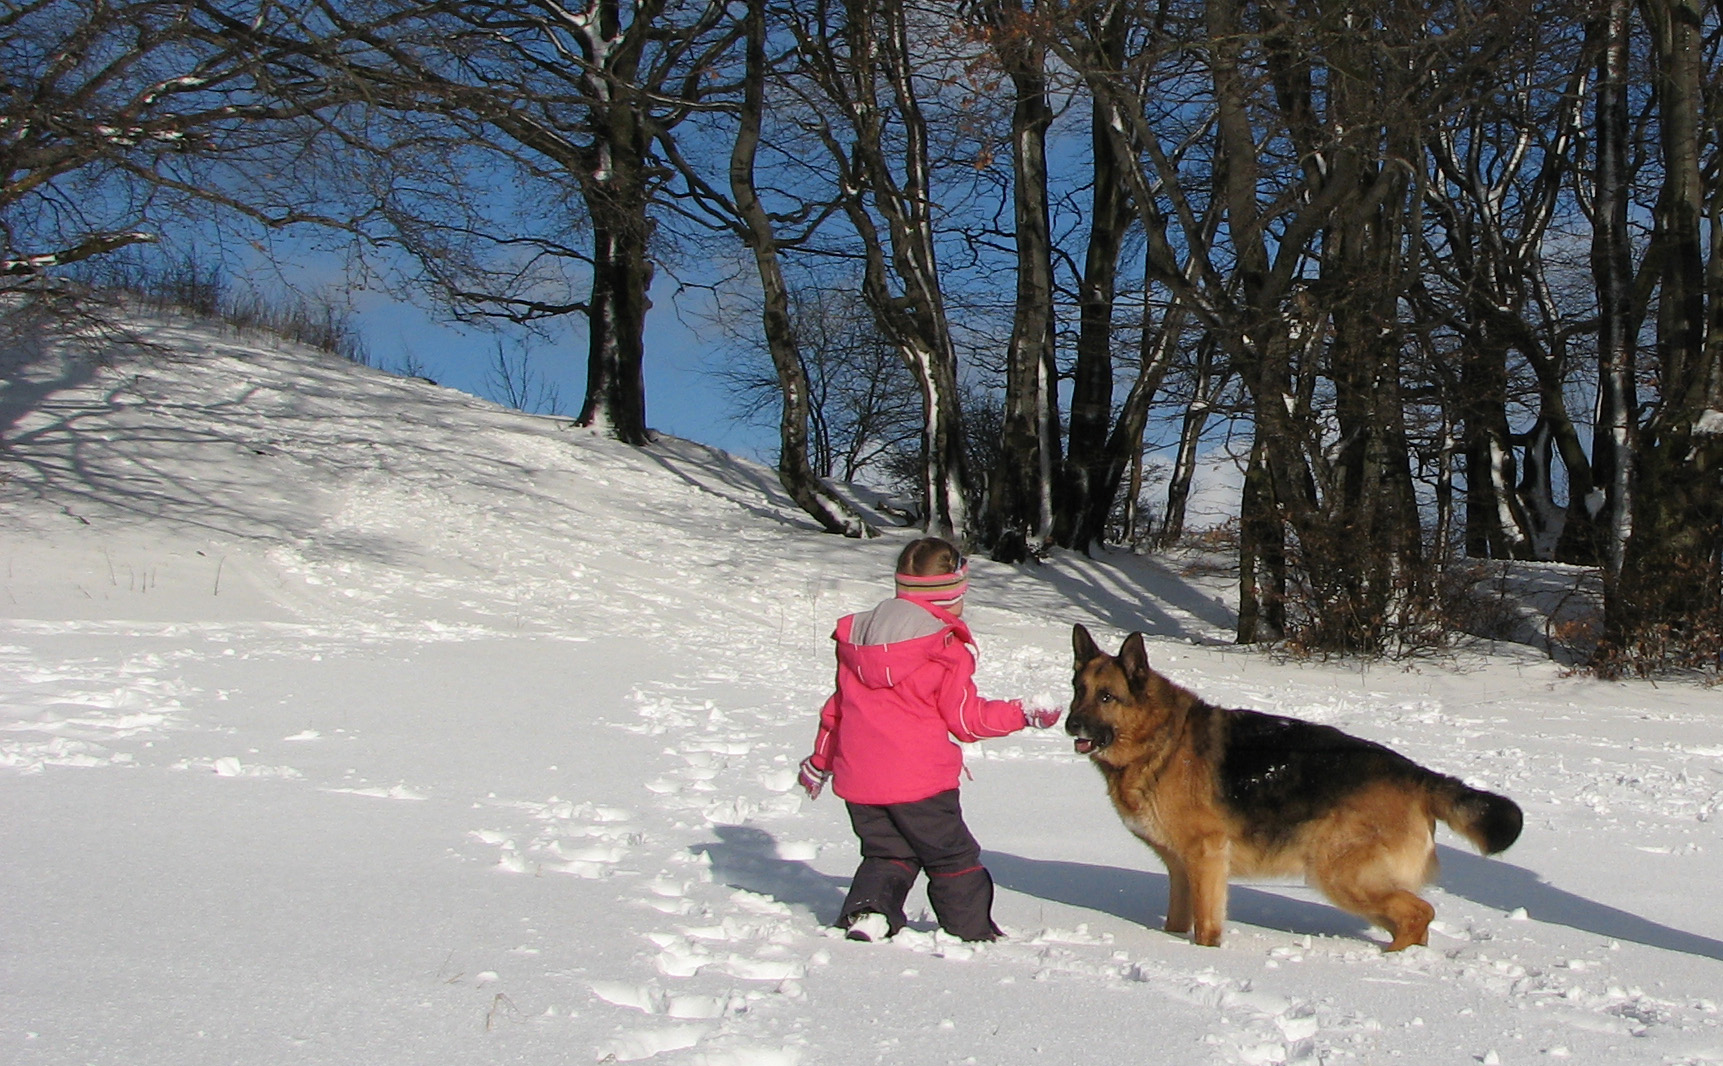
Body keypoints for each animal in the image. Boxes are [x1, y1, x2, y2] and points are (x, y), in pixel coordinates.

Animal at [1068, 626, 1530, 950]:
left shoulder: (1206, 859)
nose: (1070, 724)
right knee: (1412, 919)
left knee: (1420, 912)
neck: (1160, 739)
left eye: (1107, 697)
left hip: (1339, 874)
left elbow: (1207, 931)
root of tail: (1416, 774)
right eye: (1078, 690)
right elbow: (1177, 924)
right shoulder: (1181, 869)